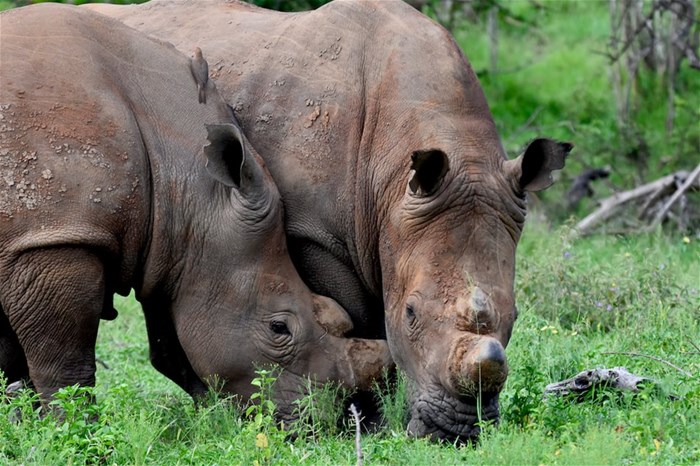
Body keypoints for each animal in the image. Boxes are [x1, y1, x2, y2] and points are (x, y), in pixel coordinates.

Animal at [0, 3, 391, 418]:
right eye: (279, 328)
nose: (316, 421)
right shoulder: (53, 236)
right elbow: (66, 364)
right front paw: (72, 424)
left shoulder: (23, 240)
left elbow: (11, 359)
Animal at [87, 0, 571, 441]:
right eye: (411, 314)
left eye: (516, 316)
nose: (457, 432)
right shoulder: (312, 233)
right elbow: (358, 320)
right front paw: (364, 421)